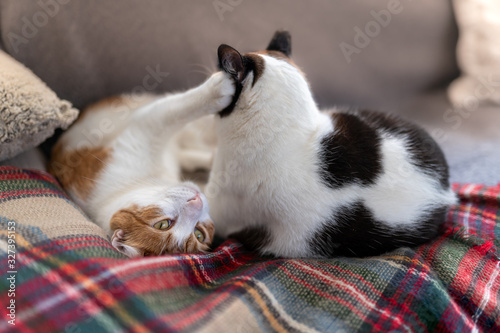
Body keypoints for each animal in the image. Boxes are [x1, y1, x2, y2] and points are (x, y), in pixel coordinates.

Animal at [49, 72, 233, 256]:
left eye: (199, 233)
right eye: (163, 224)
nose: (197, 202)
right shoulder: (143, 130)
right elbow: (171, 111)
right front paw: (217, 89)